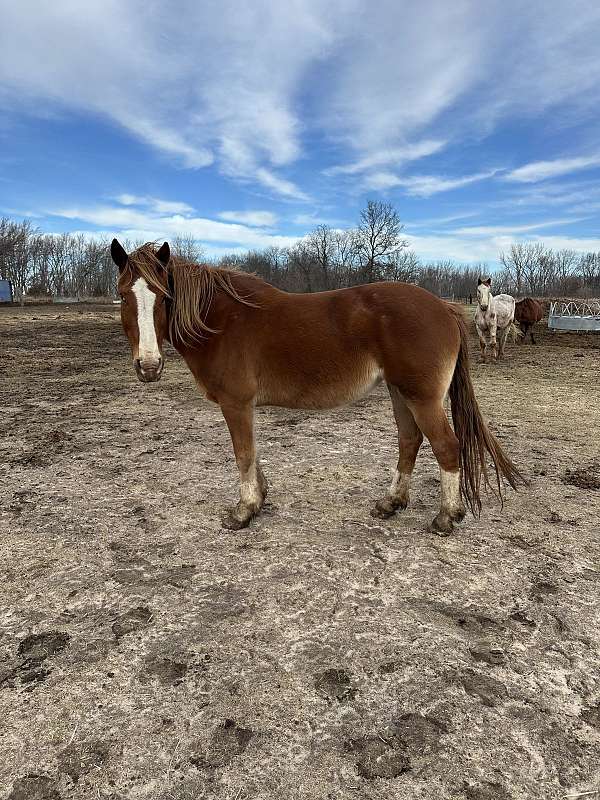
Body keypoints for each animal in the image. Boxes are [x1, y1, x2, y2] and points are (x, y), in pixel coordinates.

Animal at [111, 240, 522, 535]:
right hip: (399, 392)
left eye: (163, 297)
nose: (148, 366)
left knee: (446, 447)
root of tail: (443, 308)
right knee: (410, 441)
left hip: (422, 397)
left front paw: (243, 512)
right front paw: (259, 498)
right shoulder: (245, 406)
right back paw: (390, 503)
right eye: (124, 296)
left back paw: (445, 517)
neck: (222, 320)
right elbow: (253, 452)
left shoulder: (236, 403)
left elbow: (243, 454)